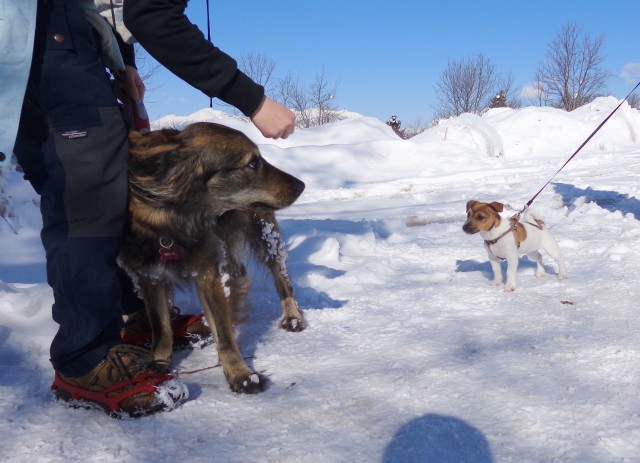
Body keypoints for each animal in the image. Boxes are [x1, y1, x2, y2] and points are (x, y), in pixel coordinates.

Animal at [119, 122, 304, 396]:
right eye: (252, 163)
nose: (301, 185)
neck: (174, 219)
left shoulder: (207, 272)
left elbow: (225, 336)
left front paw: (240, 375)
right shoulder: (148, 274)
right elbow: (160, 325)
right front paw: (158, 362)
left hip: (262, 231)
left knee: (280, 274)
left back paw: (292, 316)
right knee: (238, 273)